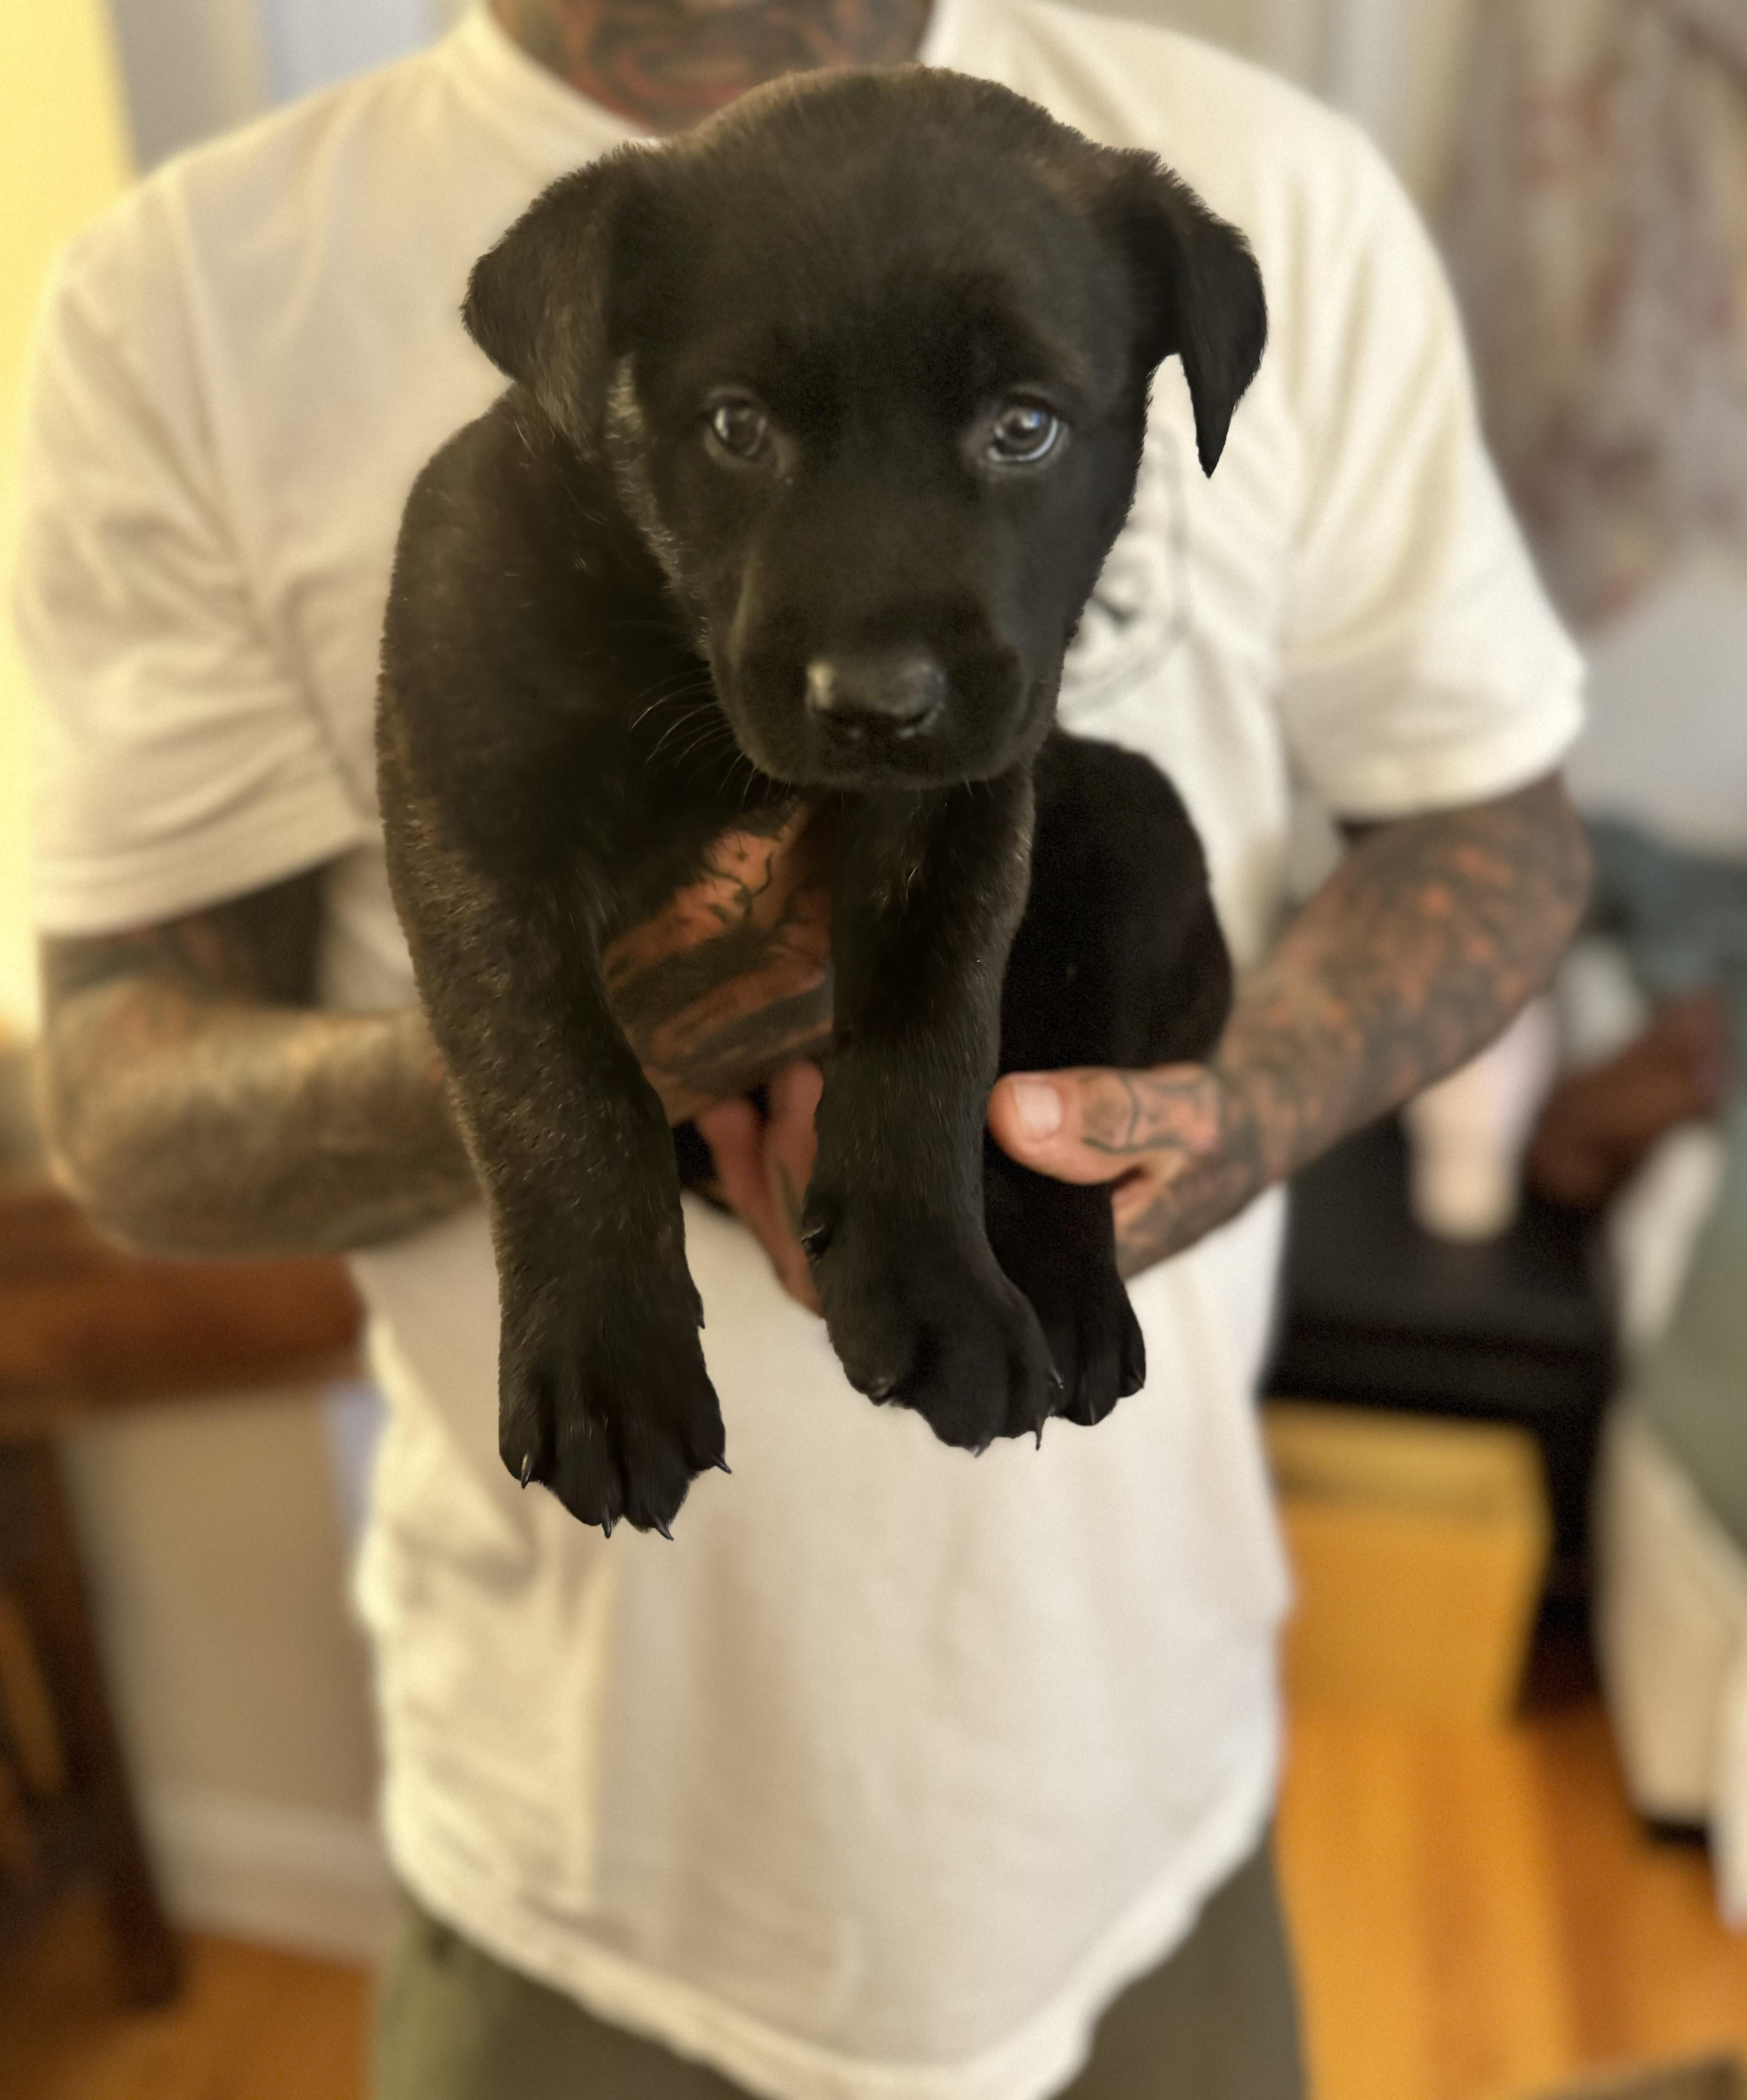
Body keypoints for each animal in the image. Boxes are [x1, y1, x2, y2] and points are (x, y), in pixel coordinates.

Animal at [377, 65, 1264, 1536]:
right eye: (736, 426)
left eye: (1023, 426)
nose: (879, 700)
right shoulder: (471, 818)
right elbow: (557, 1079)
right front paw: (608, 1364)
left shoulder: (963, 810)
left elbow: (931, 1033)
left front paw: (935, 1288)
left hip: (1133, 821)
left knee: (1049, 1074)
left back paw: (1065, 1301)